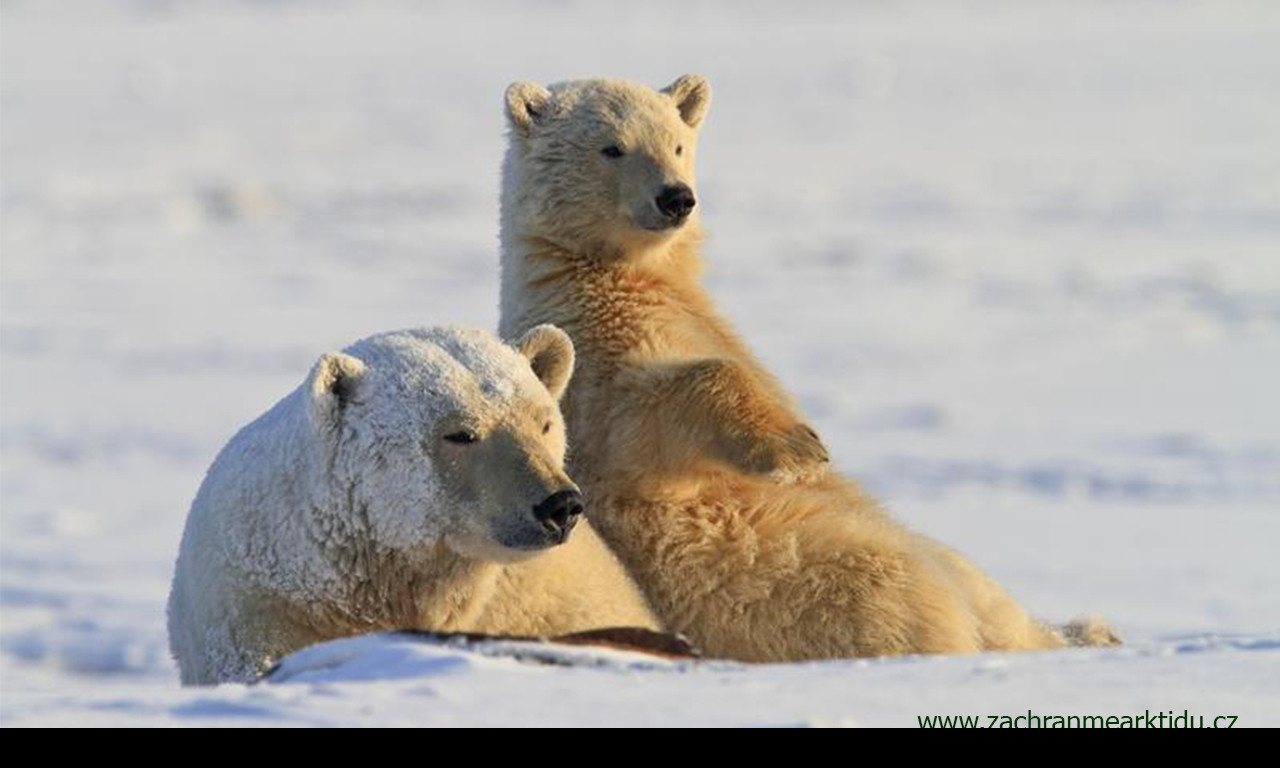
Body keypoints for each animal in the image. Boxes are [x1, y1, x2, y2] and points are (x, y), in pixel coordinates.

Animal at [494, 74, 1116, 660]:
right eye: (613, 147)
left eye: (676, 143)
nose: (676, 198)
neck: (605, 276)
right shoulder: (592, 365)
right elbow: (652, 413)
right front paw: (799, 447)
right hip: (801, 572)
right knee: (898, 590)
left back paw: (1089, 631)